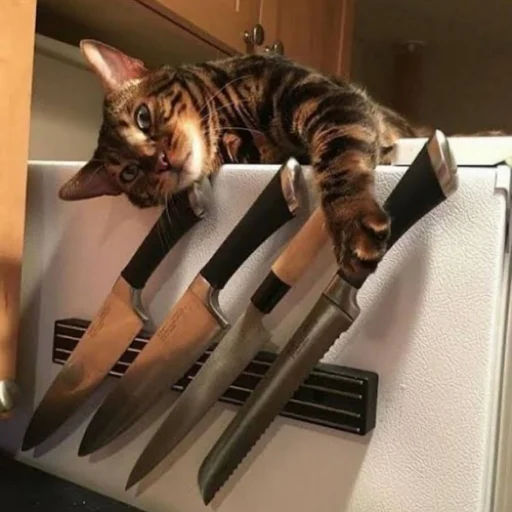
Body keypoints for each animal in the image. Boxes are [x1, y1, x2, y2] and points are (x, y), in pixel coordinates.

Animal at [56, 39, 500, 285]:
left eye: (143, 117)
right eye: (130, 173)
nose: (162, 161)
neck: (228, 123)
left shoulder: (320, 95)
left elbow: (340, 158)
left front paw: (350, 220)